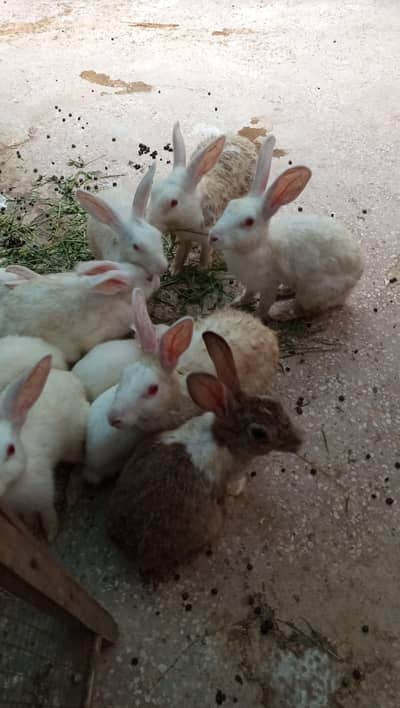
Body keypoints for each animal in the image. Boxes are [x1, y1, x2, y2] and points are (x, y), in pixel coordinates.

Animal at [0, 355, 89, 541]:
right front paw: (30, 525)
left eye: (11, 450)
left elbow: (47, 512)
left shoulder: (44, 493)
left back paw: (72, 492)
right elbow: (29, 515)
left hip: (73, 446)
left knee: (83, 460)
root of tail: (76, 382)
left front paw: (51, 533)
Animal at [107, 331, 302, 582]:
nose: (299, 441)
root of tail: (133, 548)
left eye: (274, 405)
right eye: (259, 433)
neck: (224, 437)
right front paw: (238, 490)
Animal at [148, 122, 258, 272]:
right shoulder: (184, 237)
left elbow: (205, 252)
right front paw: (175, 269)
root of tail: (239, 139)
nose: (150, 223)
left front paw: (203, 268)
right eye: (153, 190)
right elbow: (182, 250)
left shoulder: (207, 236)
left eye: (174, 202)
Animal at [209, 135, 364, 321]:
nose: (212, 237)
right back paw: (285, 291)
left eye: (249, 222)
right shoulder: (251, 284)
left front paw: (258, 317)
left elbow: (264, 304)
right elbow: (248, 294)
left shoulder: (268, 284)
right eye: (230, 205)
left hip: (311, 292)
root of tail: (358, 272)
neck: (258, 245)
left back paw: (282, 314)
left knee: (305, 311)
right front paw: (236, 303)